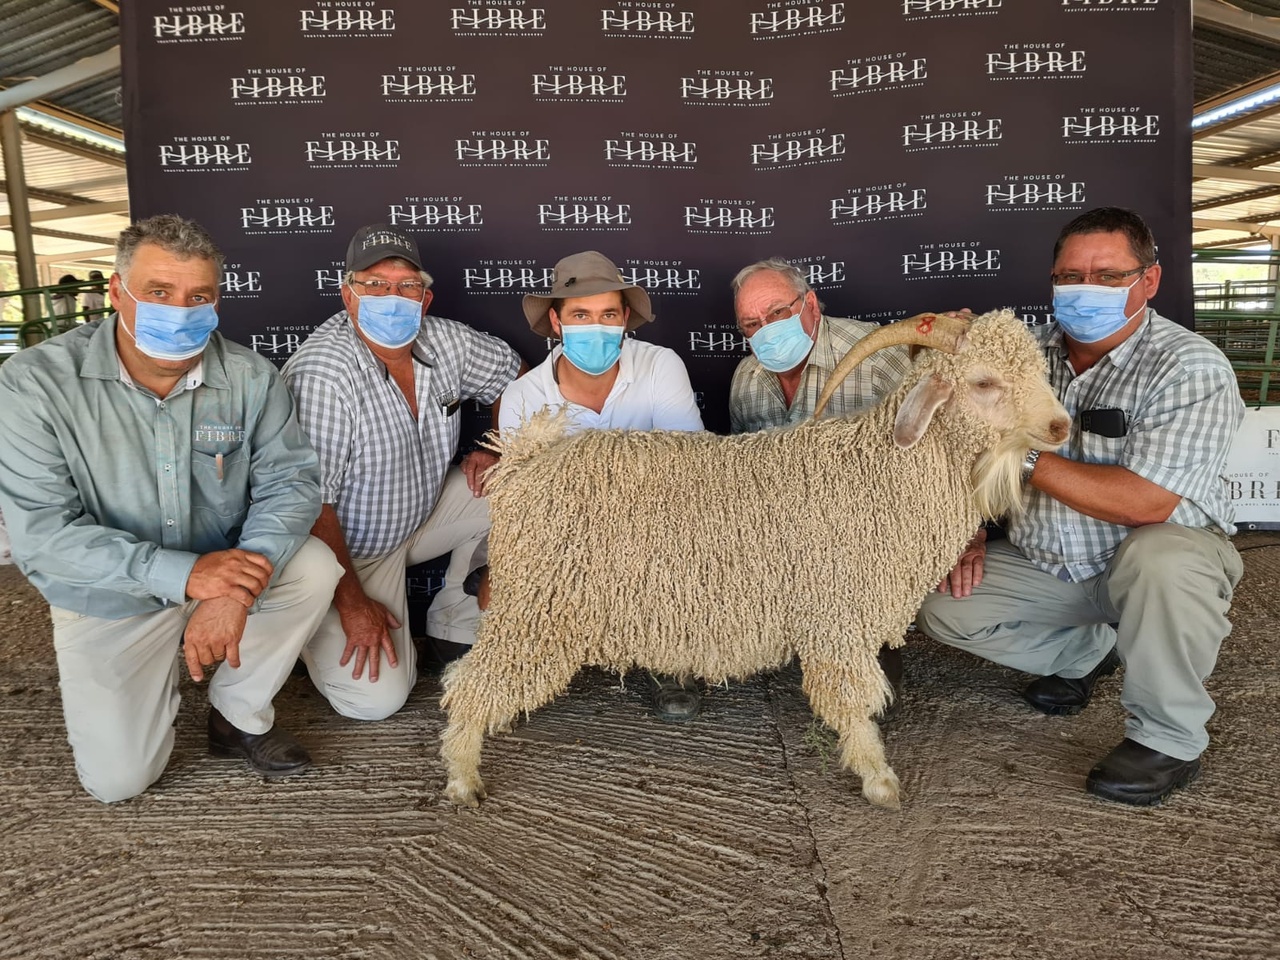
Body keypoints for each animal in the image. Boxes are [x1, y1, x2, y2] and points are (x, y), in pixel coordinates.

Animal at [440, 309, 1070, 814]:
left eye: (1040, 370)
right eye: (984, 381)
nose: (1062, 426)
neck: (878, 471)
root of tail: (524, 460)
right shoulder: (837, 618)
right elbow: (854, 700)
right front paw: (878, 779)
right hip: (536, 606)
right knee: (469, 682)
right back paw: (463, 777)